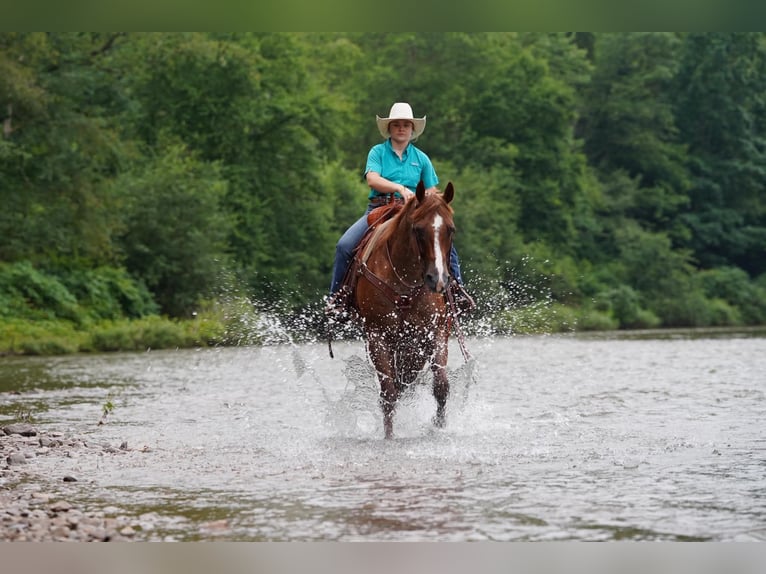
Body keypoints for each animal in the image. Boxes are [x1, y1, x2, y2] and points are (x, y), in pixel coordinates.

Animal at [352, 180, 458, 439]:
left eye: (450, 229)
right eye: (418, 229)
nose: (438, 280)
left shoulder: (434, 332)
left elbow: (441, 386)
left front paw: (439, 428)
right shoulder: (377, 336)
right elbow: (388, 393)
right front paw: (389, 436)